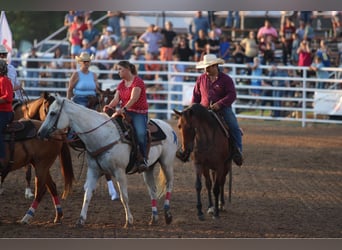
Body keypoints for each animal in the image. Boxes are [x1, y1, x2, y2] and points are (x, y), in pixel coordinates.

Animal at [37, 96, 179, 229]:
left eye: (53, 113)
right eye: (47, 111)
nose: (39, 133)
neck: (102, 135)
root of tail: (169, 128)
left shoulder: (120, 172)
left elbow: (124, 197)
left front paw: (129, 221)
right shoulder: (93, 171)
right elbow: (87, 195)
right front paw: (80, 220)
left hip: (166, 162)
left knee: (169, 184)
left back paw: (168, 215)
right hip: (148, 168)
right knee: (152, 190)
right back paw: (154, 218)